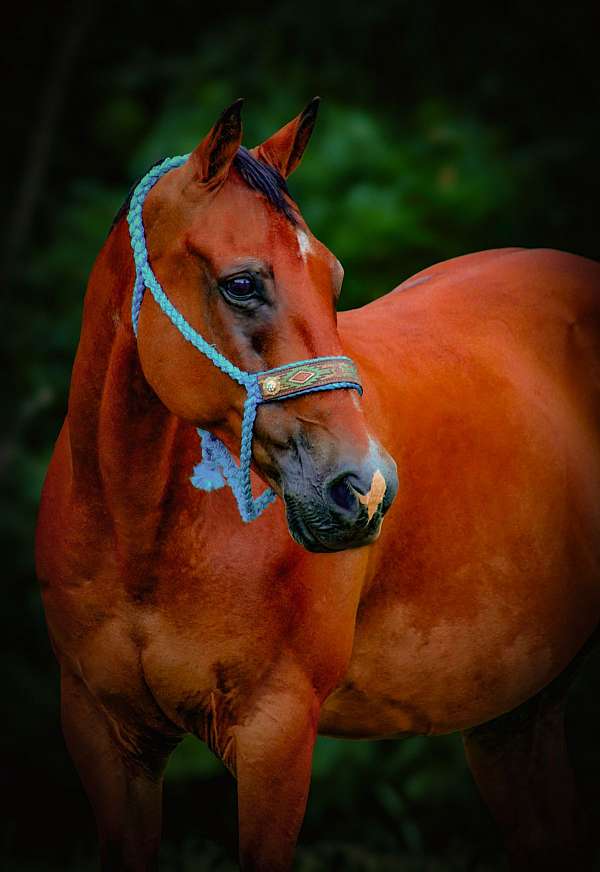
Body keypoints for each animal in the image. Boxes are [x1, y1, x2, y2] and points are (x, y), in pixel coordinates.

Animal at [35, 97, 600, 871]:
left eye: (331, 279)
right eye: (243, 283)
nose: (365, 488)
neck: (138, 532)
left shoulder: (275, 734)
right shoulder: (104, 735)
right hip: (515, 716)